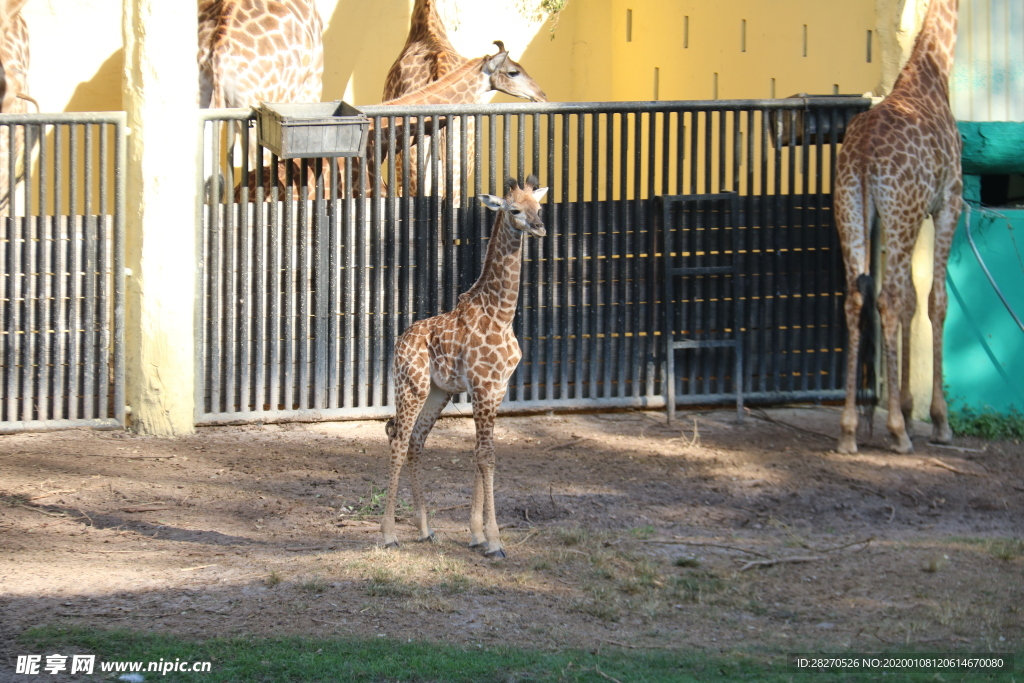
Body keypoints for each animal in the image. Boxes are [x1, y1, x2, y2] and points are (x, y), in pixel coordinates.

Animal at [835, 0, 962, 456]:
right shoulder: (947, 203)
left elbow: (911, 299)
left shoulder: (908, 215)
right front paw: (936, 420)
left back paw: (849, 430)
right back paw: (896, 433)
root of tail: (865, 154)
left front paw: (907, 406)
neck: (932, 75)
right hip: (900, 213)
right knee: (887, 299)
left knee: (857, 299)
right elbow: (935, 301)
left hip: (852, 208)